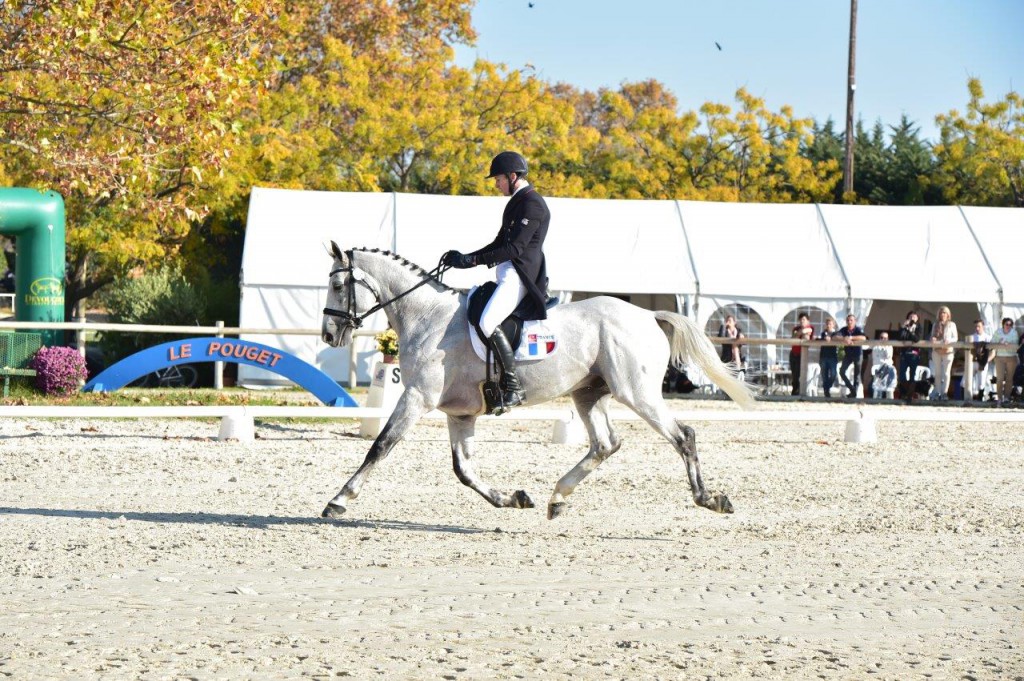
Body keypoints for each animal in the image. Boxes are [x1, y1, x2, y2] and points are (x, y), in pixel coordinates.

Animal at [321, 246, 761, 518]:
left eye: (338, 285)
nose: (328, 335)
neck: (428, 316)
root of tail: (649, 315)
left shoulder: (417, 397)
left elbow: (380, 446)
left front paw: (339, 500)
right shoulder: (460, 412)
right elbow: (463, 469)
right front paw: (512, 498)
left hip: (635, 392)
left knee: (683, 436)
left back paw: (710, 499)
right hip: (588, 393)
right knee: (605, 444)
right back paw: (558, 497)